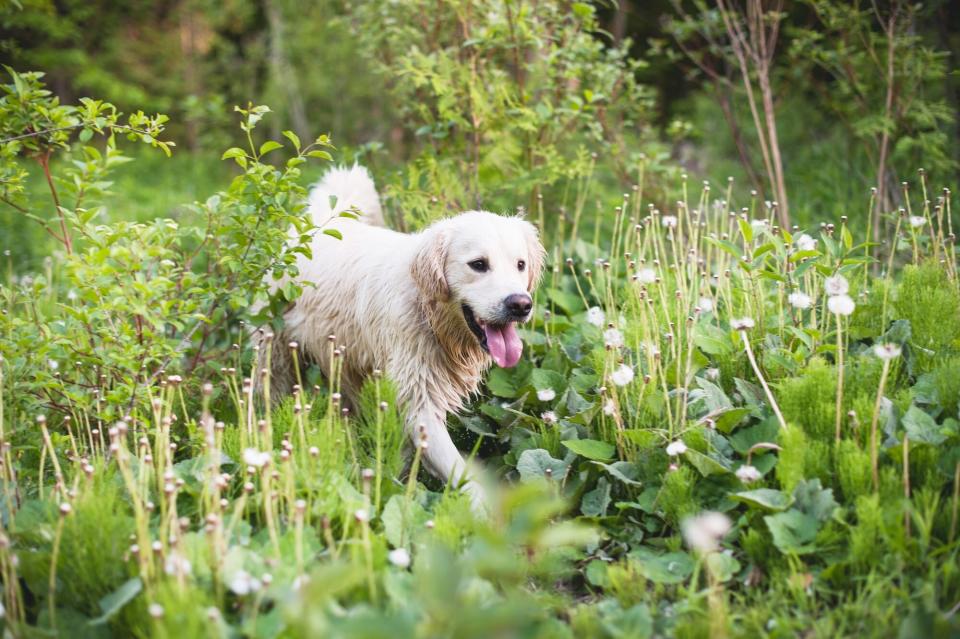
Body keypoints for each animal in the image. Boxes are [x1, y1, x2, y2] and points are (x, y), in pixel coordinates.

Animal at [262, 168, 544, 508]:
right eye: (478, 264)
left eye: (520, 265)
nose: (520, 304)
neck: (430, 311)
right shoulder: (419, 399)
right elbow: (463, 474)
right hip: (274, 354)